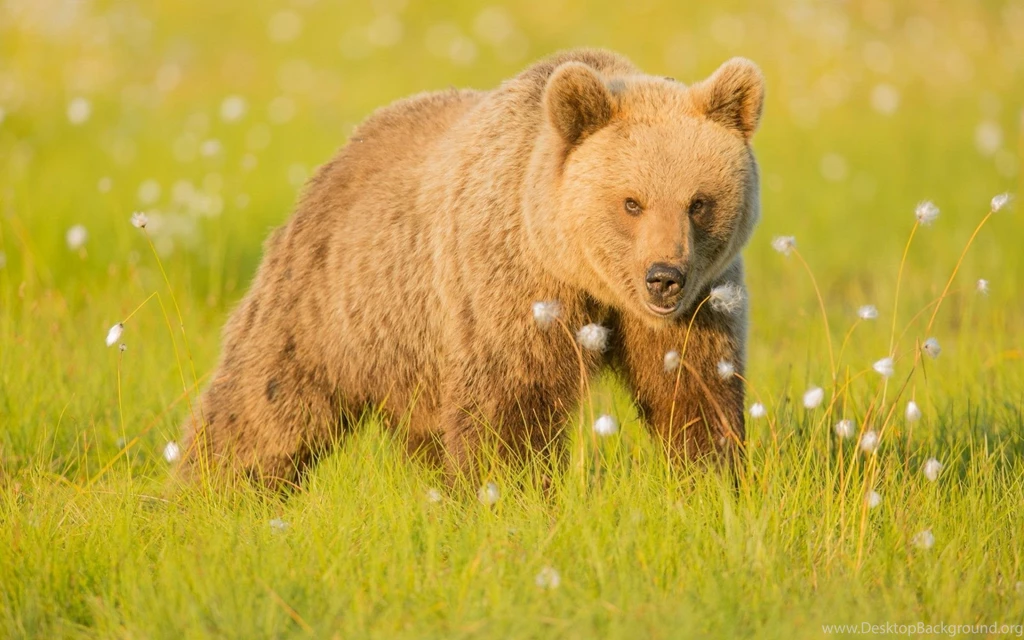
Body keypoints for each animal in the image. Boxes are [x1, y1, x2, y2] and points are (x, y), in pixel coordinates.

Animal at [178, 48, 764, 487]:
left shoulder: (700, 304)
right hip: (329, 302)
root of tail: (343, 153)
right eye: (631, 202)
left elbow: (693, 390)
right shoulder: (509, 285)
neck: (582, 274)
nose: (663, 276)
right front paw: (513, 493)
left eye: (698, 202)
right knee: (263, 406)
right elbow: (511, 404)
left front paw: (711, 478)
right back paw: (208, 492)